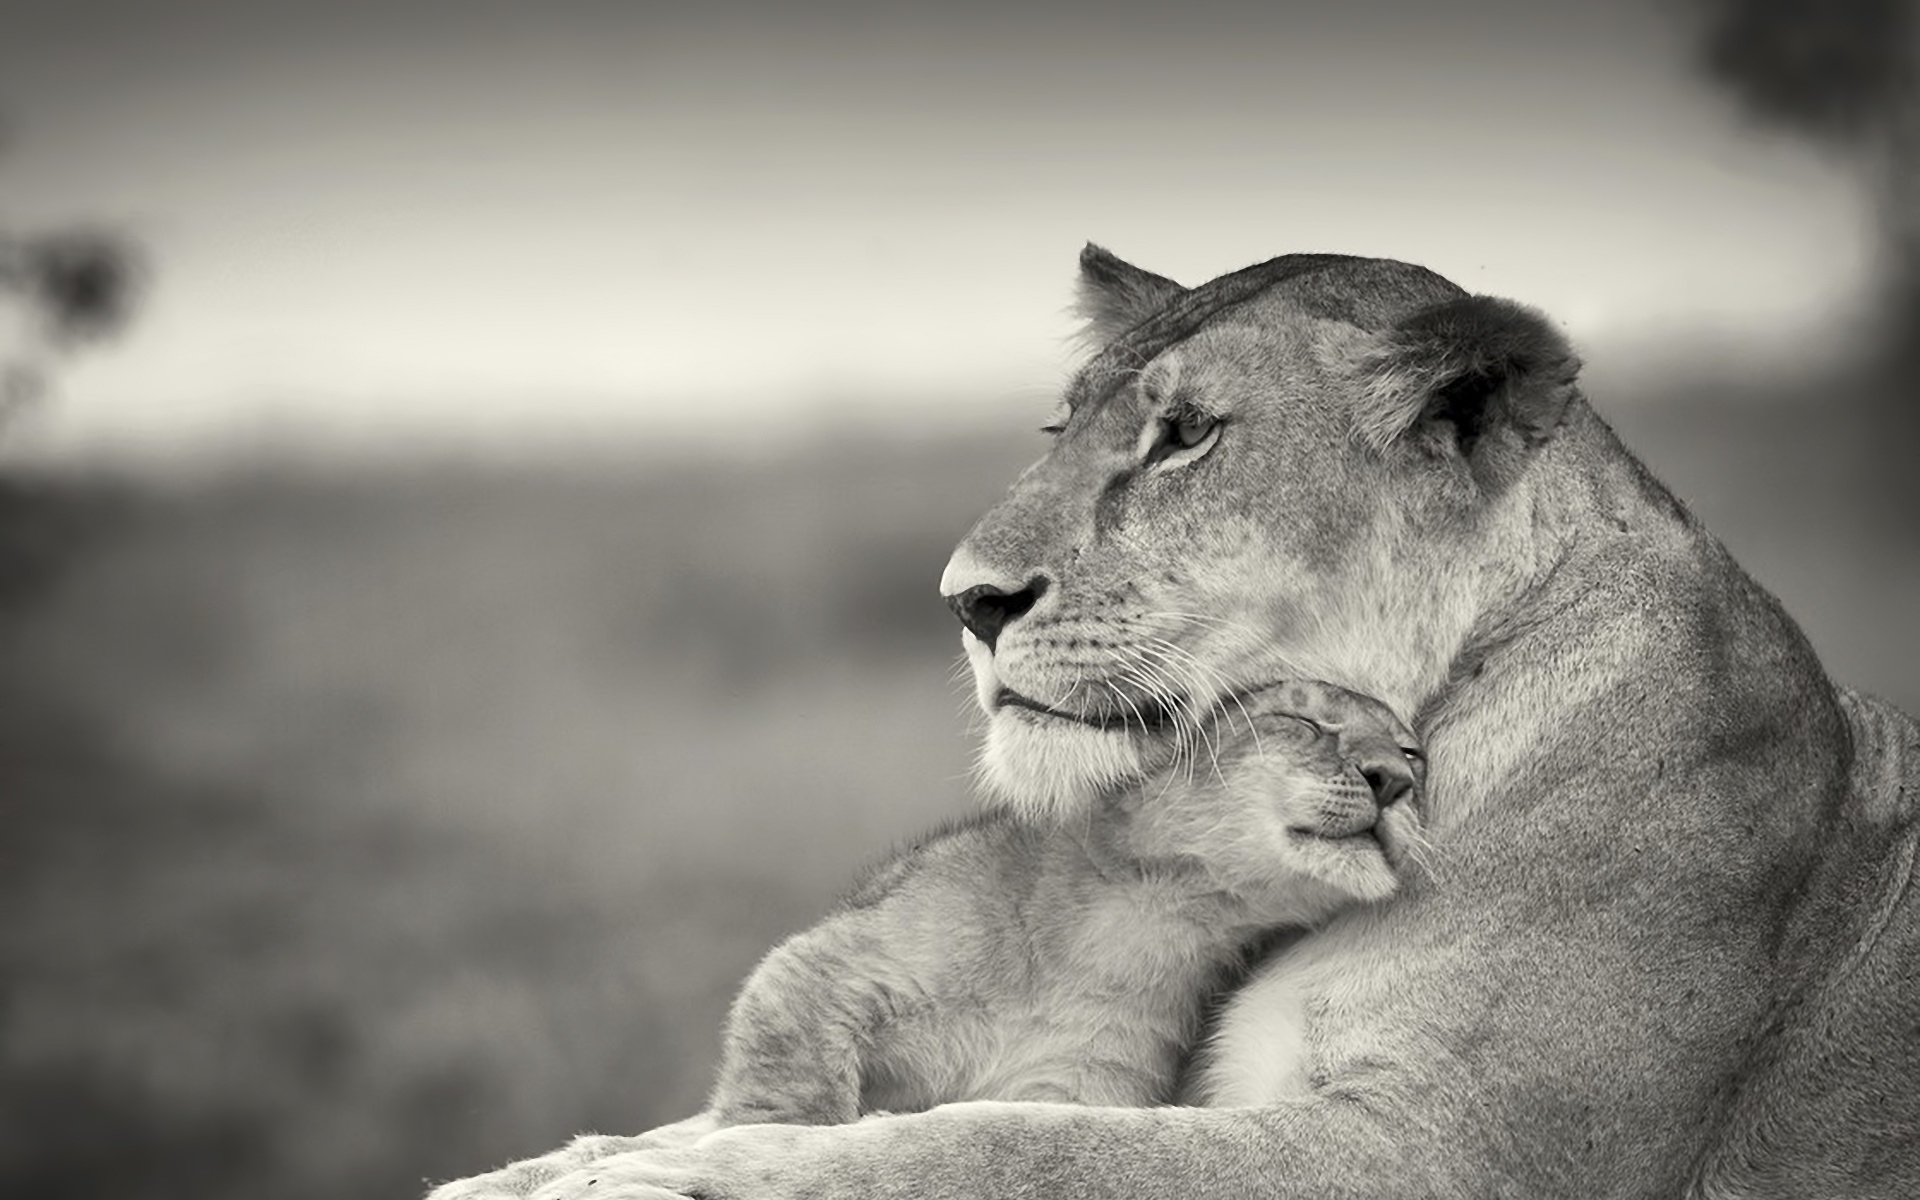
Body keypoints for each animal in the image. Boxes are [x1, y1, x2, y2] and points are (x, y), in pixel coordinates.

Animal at [428, 247, 1920, 1199]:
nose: (967, 601)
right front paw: (558, 1165)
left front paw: (699, 1173)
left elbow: (1005, 1152)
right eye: (1063, 429)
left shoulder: (1449, 1155)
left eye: (1188, 434)